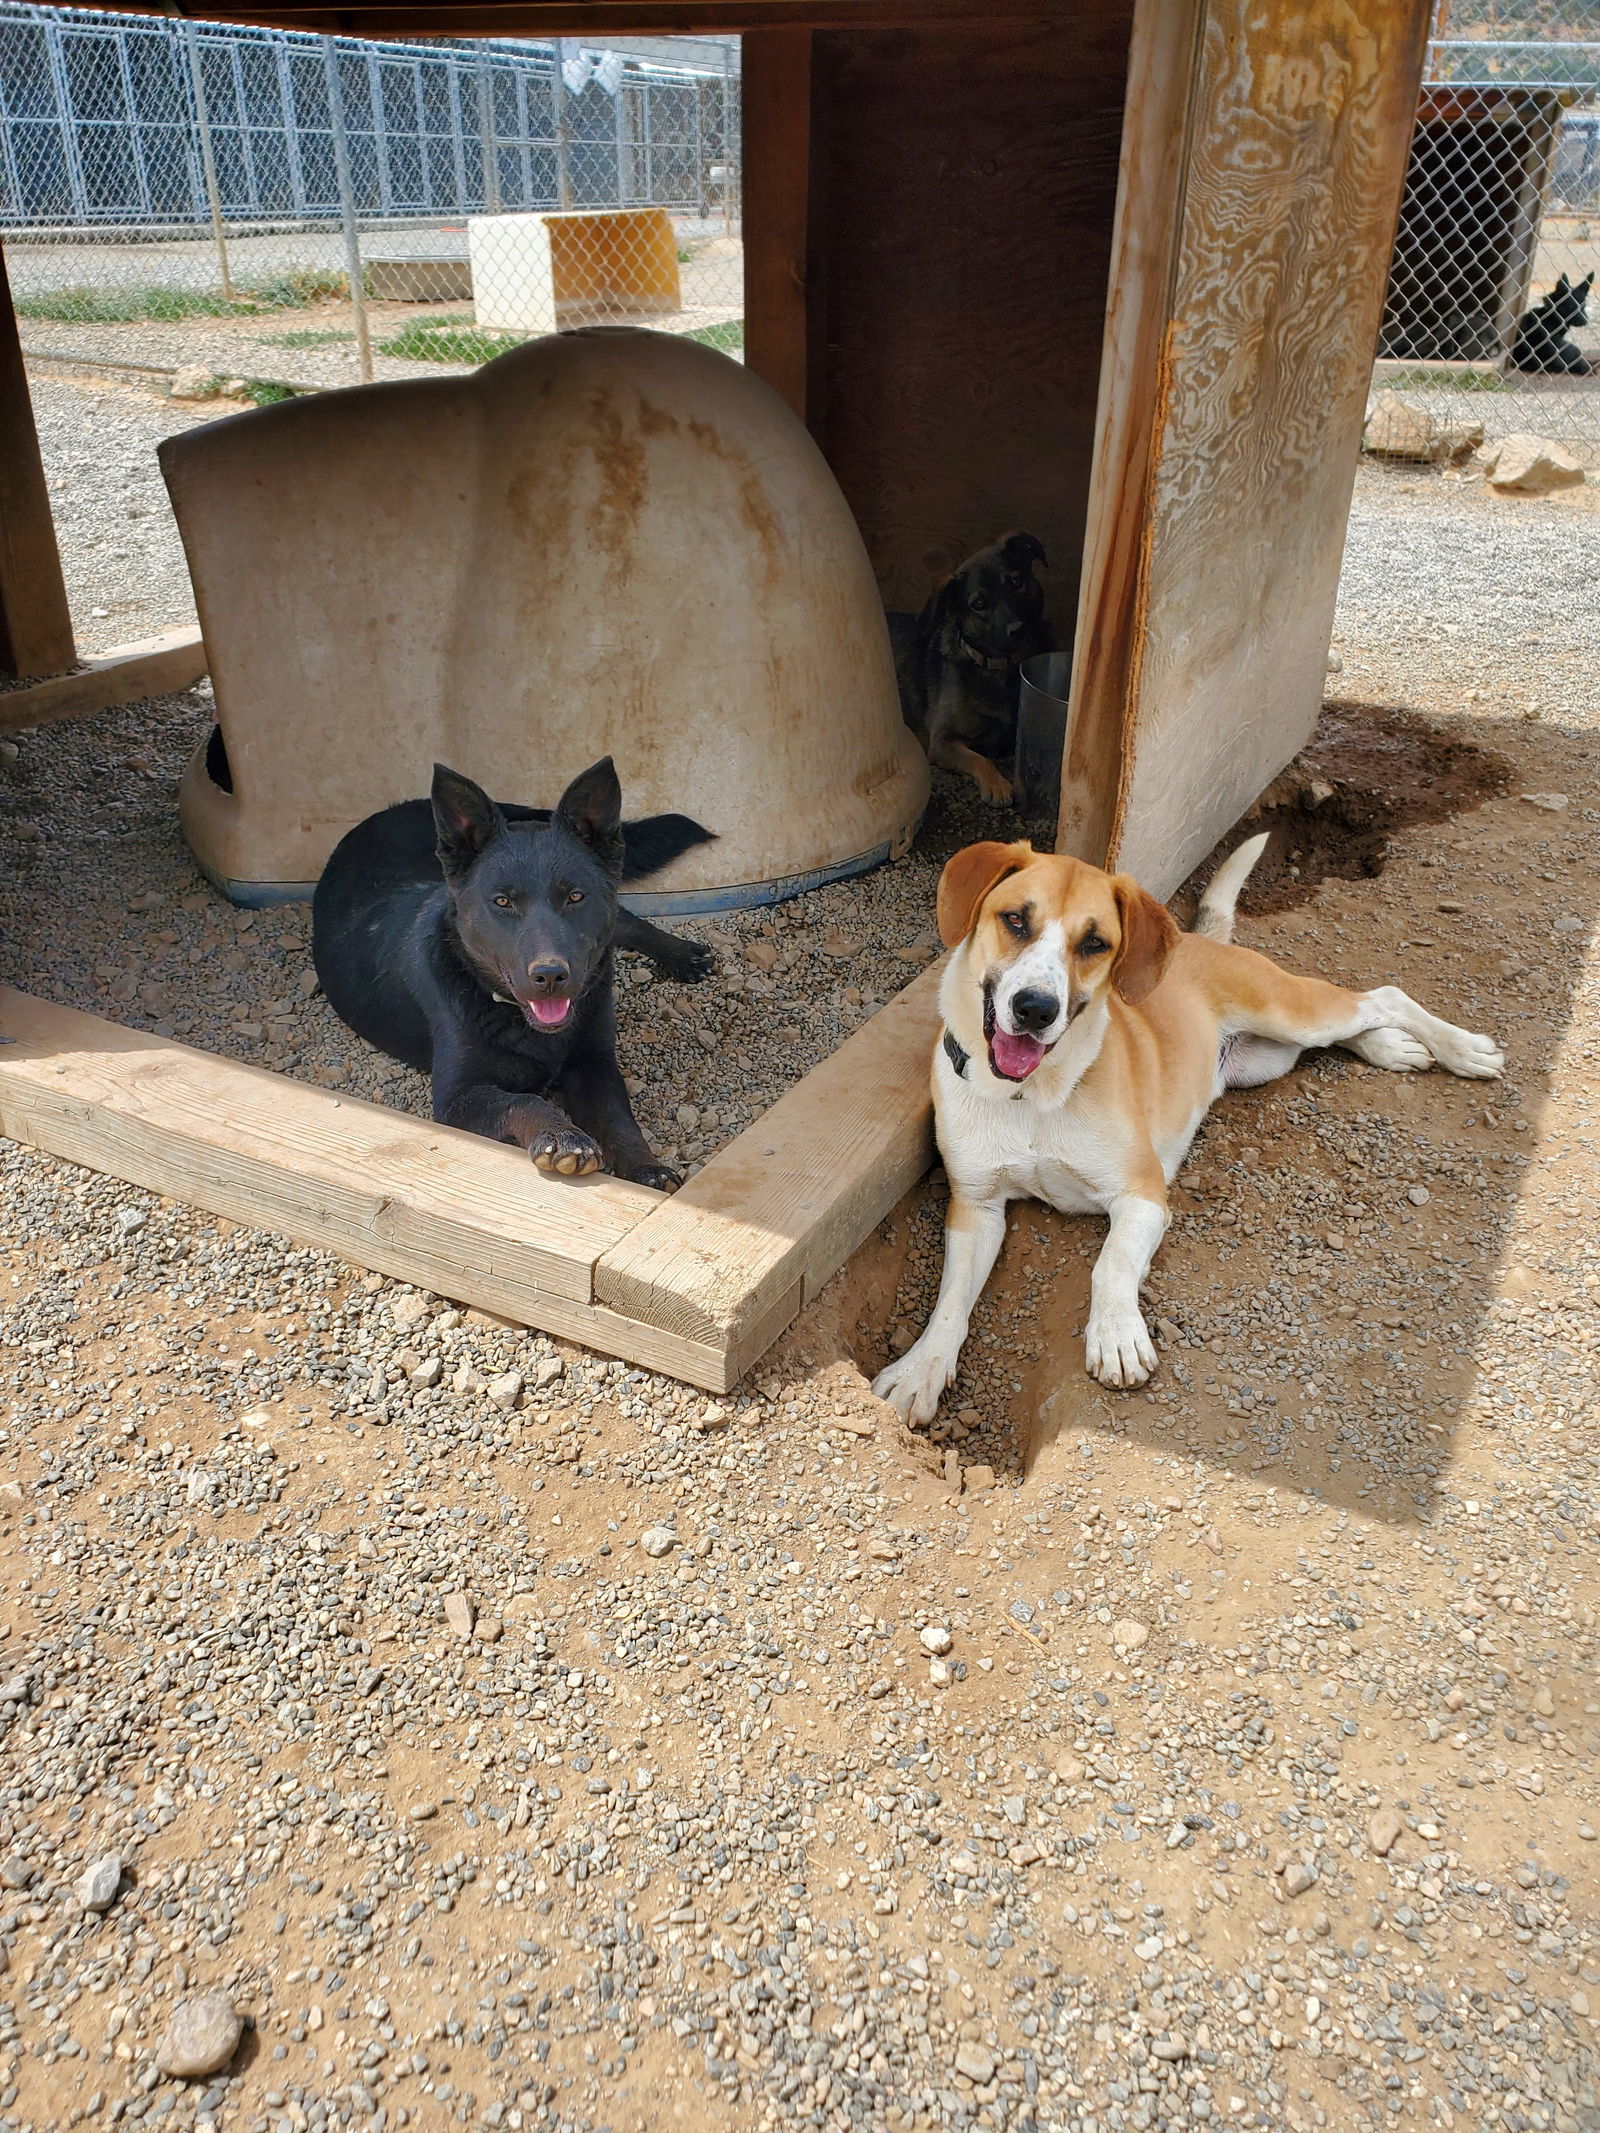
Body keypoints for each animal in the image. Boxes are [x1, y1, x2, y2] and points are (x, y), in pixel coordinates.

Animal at [313, 759, 712, 1194]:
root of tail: (398, 808)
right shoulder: (457, 1097)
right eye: (502, 901)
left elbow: (618, 1119)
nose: (550, 975)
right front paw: (563, 1136)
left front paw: (645, 1168)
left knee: (625, 919)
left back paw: (682, 953)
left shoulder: (595, 1063)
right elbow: (521, 1100)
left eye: (575, 896)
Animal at [870, 831, 1510, 1416]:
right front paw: (920, 1371)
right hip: (1269, 1057)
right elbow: (949, 1302)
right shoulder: (975, 1206)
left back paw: (1461, 1049)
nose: (1035, 1008)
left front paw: (1117, 1335)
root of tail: (1203, 939)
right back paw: (1392, 1048)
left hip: (1289, 1011)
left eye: (1095, 942)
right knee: (1356, 1026)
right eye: (1014, 920)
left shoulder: (1143, 1193)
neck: (1030, 1097)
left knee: (1384, 995)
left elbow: (1110, 1264)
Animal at [891, 528, 1053, 802]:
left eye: (1016, 582)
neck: (998, 668)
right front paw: (996, 783)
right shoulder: (943, 741)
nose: (1017, 630)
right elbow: (979, 759)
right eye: (978, 604)